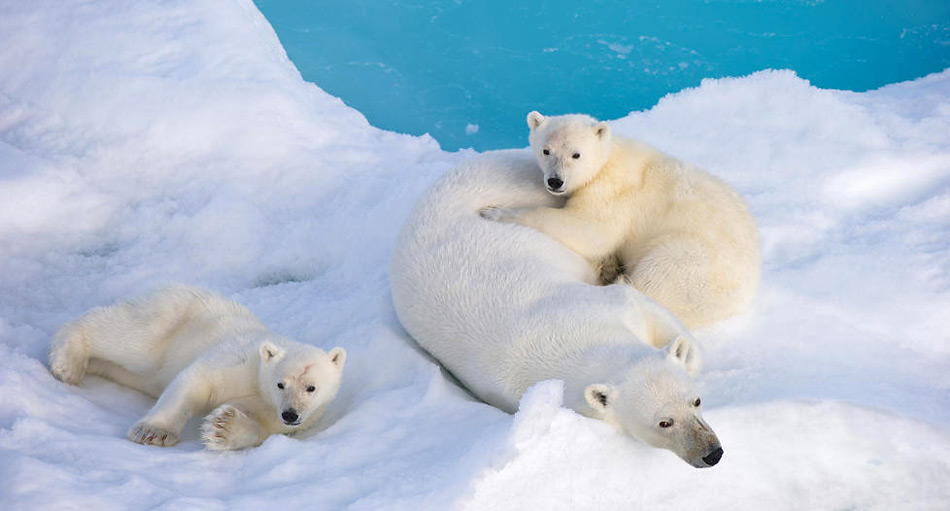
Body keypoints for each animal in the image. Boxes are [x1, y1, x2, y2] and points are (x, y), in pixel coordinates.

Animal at [48, 288, 346, 452]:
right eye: (280, 384)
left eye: (311, 387)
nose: (291, 414)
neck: (259, 384)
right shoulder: (238, 359)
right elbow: (197, 380)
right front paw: (153, 432)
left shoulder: (273, 416)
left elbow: (257, 428)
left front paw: (222, 427)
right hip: (169, 320)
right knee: (127, 338)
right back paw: (68, 362)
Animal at [480, 110, 764, 330]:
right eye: (546, 150)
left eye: (576, 154)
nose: (555, 181)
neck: (607, 159)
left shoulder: (613, 192)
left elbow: (591, 231)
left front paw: (495, 212)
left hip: (691, 261)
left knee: (655, 278)